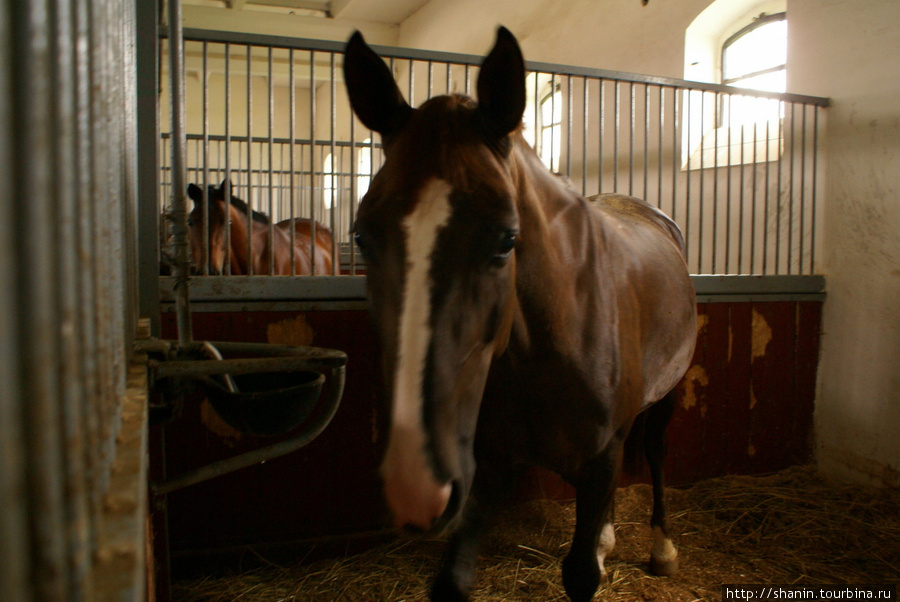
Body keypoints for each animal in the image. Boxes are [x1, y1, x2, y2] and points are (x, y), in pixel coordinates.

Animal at [342, 25, 696, 596]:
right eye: (361, 236)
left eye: (508, 239)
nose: (413, 486)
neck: (550, 347)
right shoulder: (488, 464)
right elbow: (453, 577)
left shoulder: (598, 459)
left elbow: (580, 573)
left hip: (668, 395)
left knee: (657, 453)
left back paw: (662, 547)